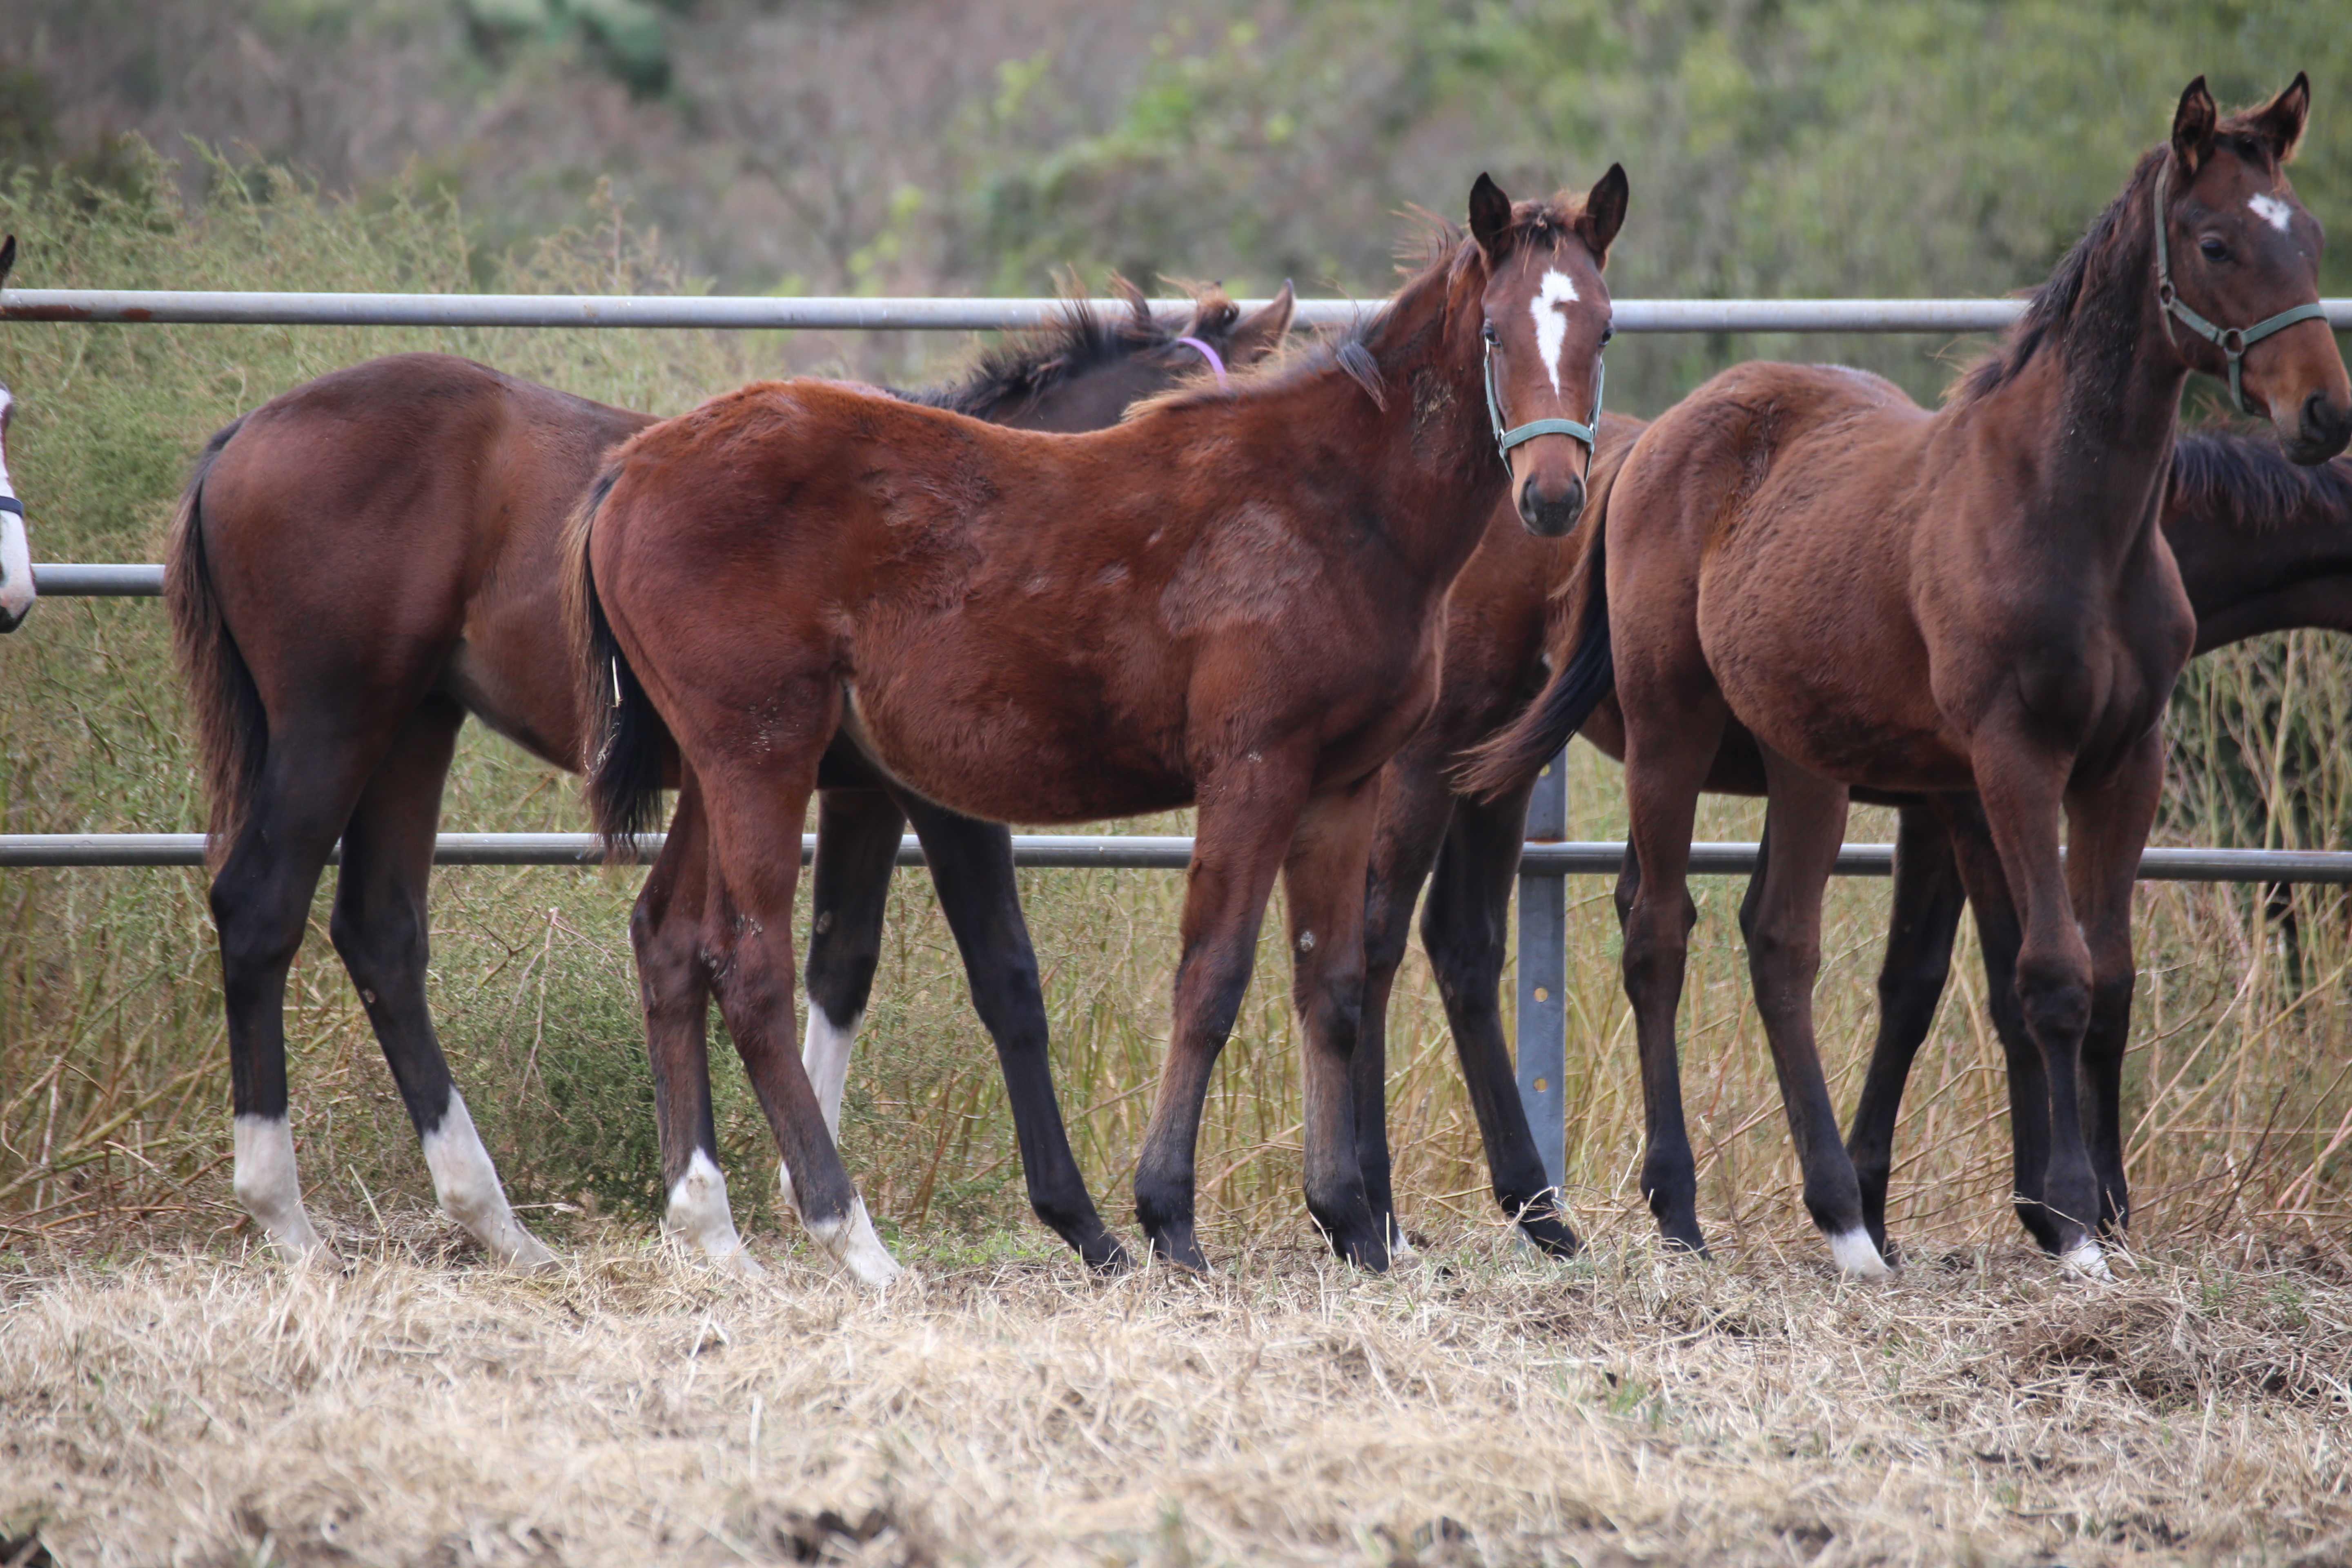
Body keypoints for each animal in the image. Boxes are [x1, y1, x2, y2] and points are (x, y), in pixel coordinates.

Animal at [166, 282, 1298, 1269]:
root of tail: (241, 437)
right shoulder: (942, 800)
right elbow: (1005, 980)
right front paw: (1082, 1227)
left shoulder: (858, 795)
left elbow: (838, 965)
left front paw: (788, 1197)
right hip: (337, 722)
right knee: (261, 907)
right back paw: (288, 1219)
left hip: (416, 728)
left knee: (382, 933)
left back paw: (498, 1225)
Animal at [578, 169, 1627, 1288]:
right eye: (1493, 332)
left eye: (1603, 328)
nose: (1552, 496)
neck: (1335, 502)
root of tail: (631, 466)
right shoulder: (1252, 767)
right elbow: (1212, 977)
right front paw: (1168, 1217)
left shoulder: (1341, 784)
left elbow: (1332, 983)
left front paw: (1349, 1221)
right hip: (761, 759)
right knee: (749, 963)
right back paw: (851, 1235)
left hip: (715, 766)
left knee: (669, 937)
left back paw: (711, 1229)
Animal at [1458, 73, 2342, 1278]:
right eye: (2215, 243)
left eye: (2307, 237)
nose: (2323, 411)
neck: (2068, 517)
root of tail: (1641, 453)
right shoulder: (2001, 766)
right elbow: (2040, 976)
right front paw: (2068, 1218)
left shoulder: (2122, 763)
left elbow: (2092, 976)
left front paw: (2095, 1206)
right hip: (1666, 732)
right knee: (1651, 933)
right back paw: (1674, 1208)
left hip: (1801, 762)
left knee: (1776, 941)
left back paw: (1842, 1221)